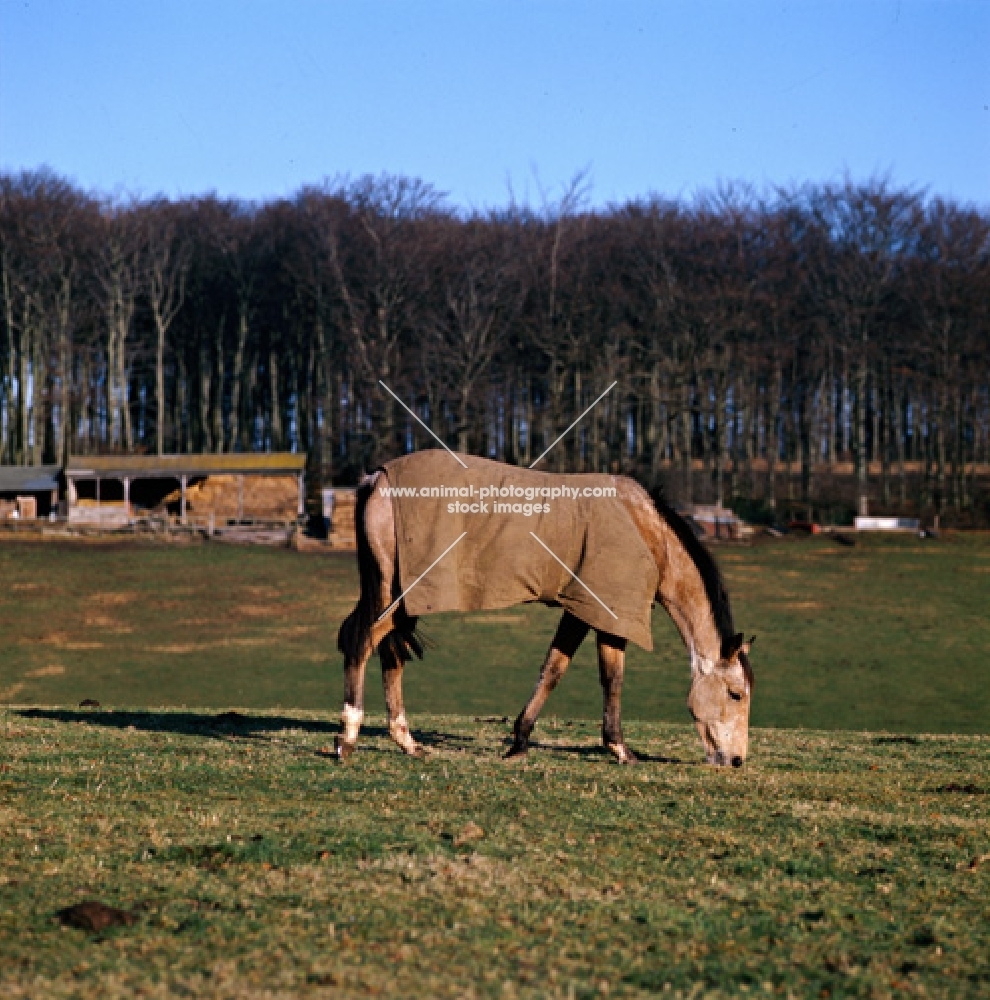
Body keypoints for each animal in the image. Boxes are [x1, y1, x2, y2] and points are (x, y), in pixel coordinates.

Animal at [338, 458, 756, 764]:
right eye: (735, 694)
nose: (736, 760)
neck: (645, 530)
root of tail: (377, 478)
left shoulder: (583, 611)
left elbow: (556, 668)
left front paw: (521, 740)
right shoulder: (608, 614)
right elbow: (608, 678)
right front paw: (620, 749)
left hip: (398, 597)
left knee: (387, 654)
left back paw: (406, 741)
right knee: (361, 643)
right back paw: (349, 736)